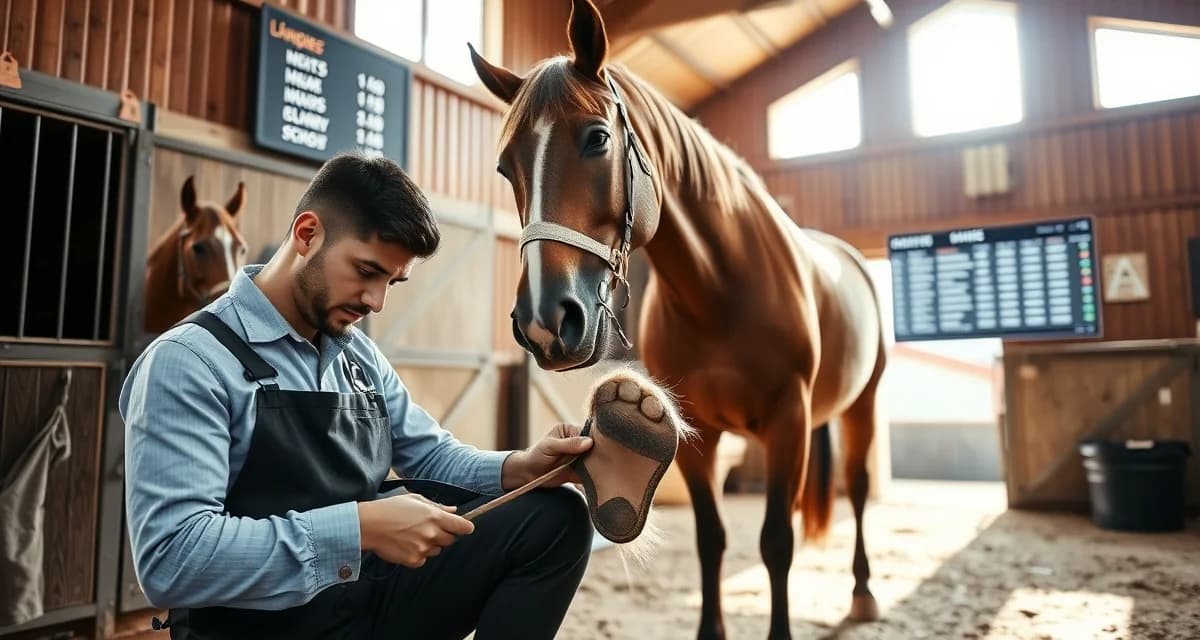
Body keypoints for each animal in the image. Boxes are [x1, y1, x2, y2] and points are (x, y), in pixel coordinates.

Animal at [469, 1, 888, 637]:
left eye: (597, 139)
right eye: (504, 166)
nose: (546, 321)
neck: (719, 292)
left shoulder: (789, 419)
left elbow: (776, 543)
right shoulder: (696, 435)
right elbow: (711, 539)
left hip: (862, 405)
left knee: (859, 490)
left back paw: (863, 596)